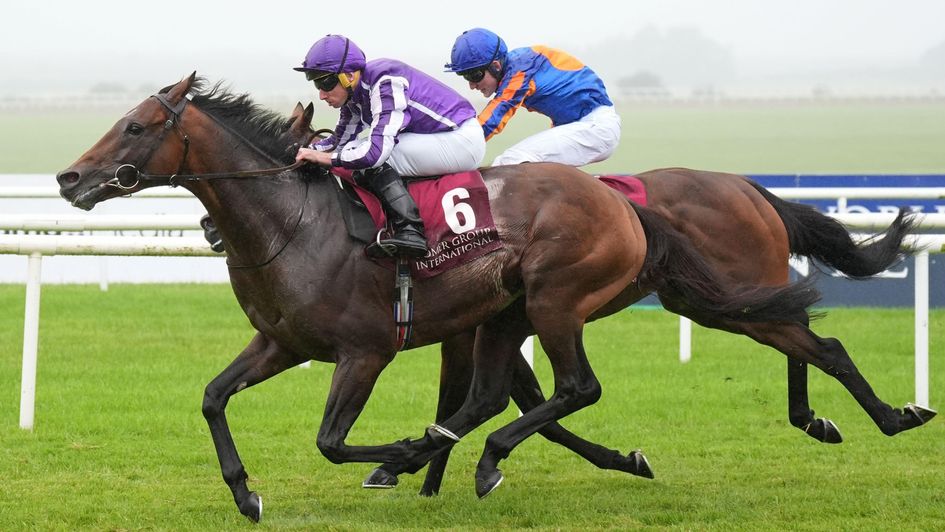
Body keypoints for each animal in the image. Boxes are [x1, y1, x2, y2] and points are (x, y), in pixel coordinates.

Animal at [55, 75, 820, 520]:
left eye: (135, 127)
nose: (69, 179)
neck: (294, 221)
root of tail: (619, 204)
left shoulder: (366, 350)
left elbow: (332, 440)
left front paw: (401, 455)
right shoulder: (281, 341)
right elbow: (213, 398)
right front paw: (246, 493)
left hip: (558, 302)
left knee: (578, 386)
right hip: (512, 312)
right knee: (515, 395)